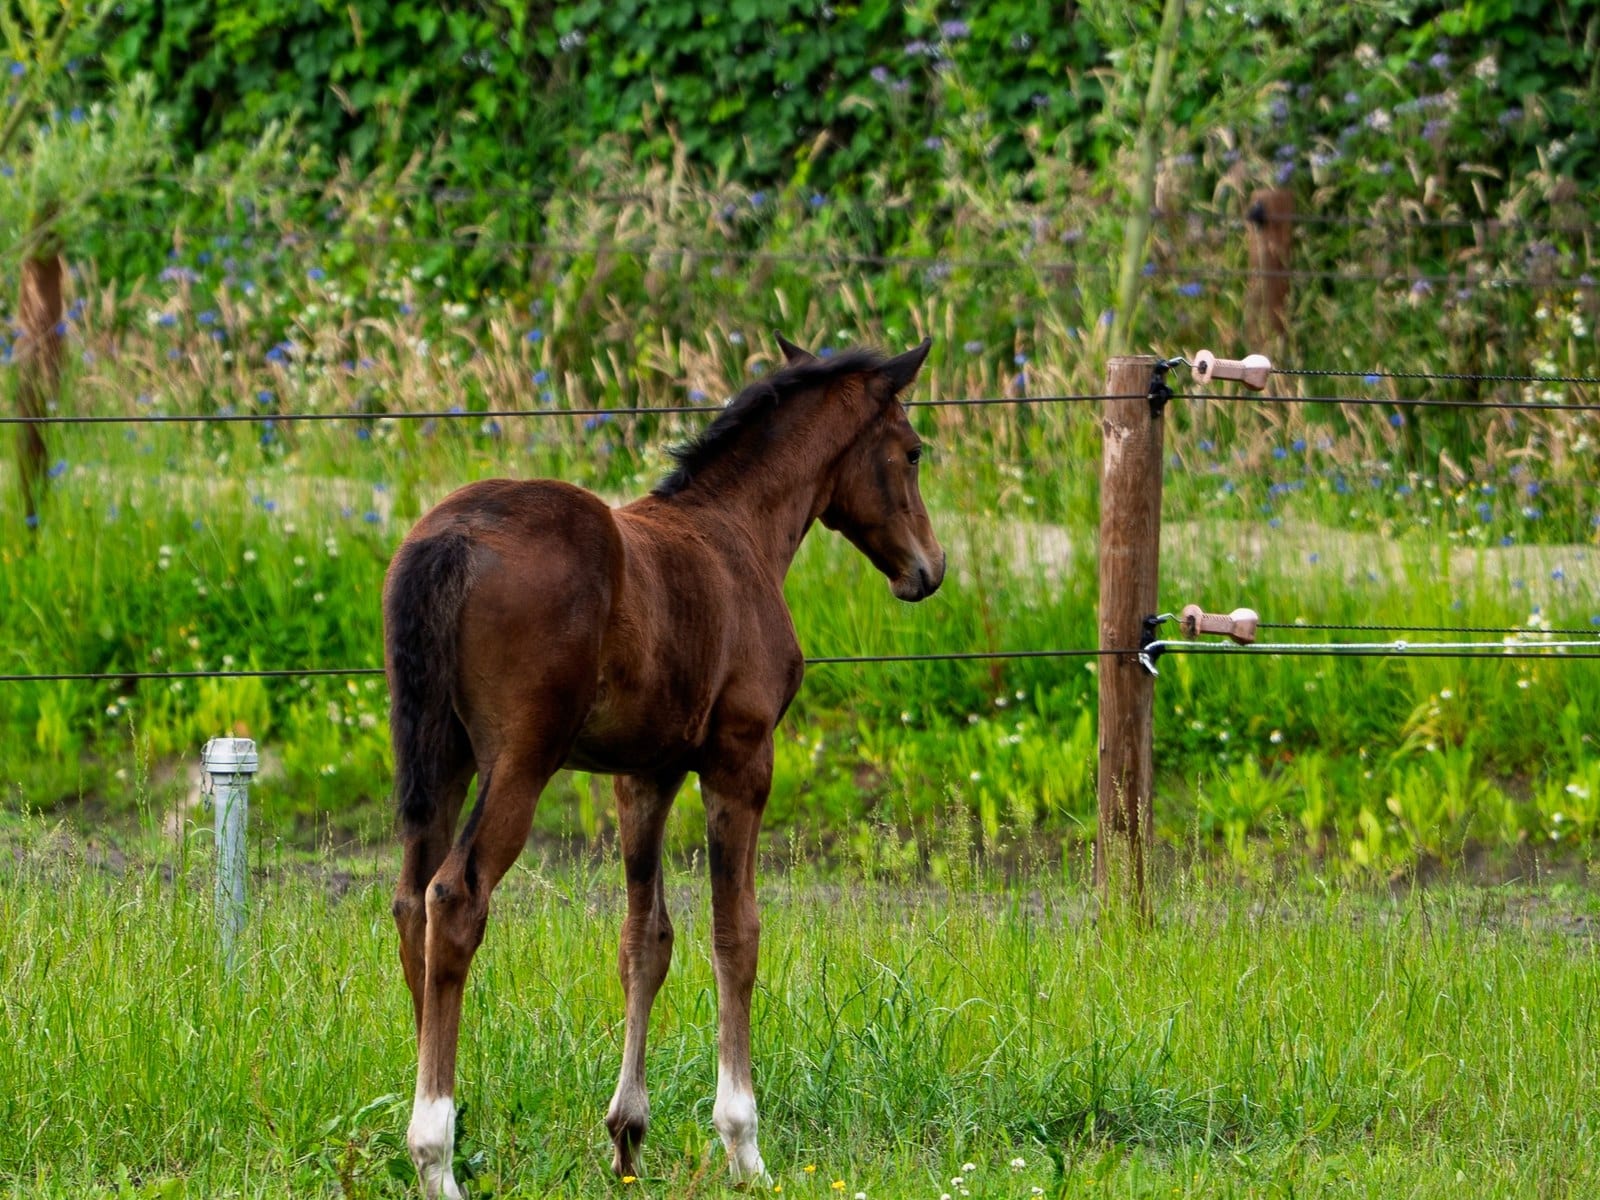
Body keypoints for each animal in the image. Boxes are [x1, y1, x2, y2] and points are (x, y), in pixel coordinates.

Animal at [383, 334, 944, 1197]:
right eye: (911, 451)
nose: (928, 569)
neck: (737, 535)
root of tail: (453, 537)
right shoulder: (740, 758)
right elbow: (735, 933)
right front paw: (743, 1144)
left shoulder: (642, 775)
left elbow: (644, 941)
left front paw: (627, 1134)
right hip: (519, 760)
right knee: (455, 898)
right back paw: (435, 1155)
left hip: (439, 756)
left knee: (412, 902)